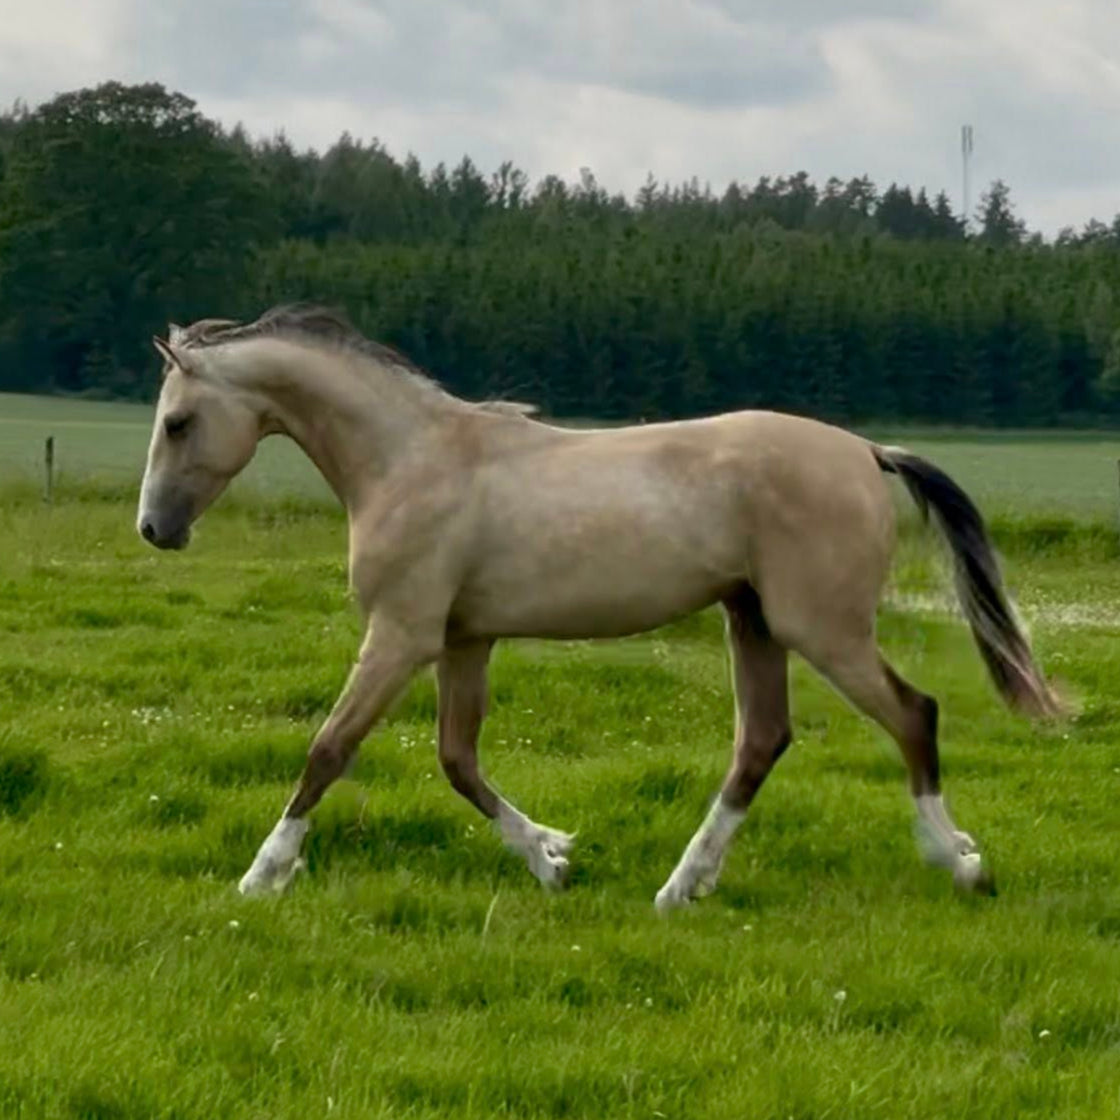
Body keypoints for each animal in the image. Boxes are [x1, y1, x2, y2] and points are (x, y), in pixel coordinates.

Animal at [137, 304, 1058, 906]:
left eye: (178, 422)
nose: (155, 529)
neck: (409, 460)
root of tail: (868, 452)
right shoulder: (464, 640)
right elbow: (457, 760)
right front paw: (553, 858)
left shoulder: (401, 635)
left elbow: (330, 748)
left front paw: (262, 875)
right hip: (753, 621)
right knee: (761, 742)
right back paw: (683, 886)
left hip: (821, 628)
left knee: (912, 714)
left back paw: (961, 863)